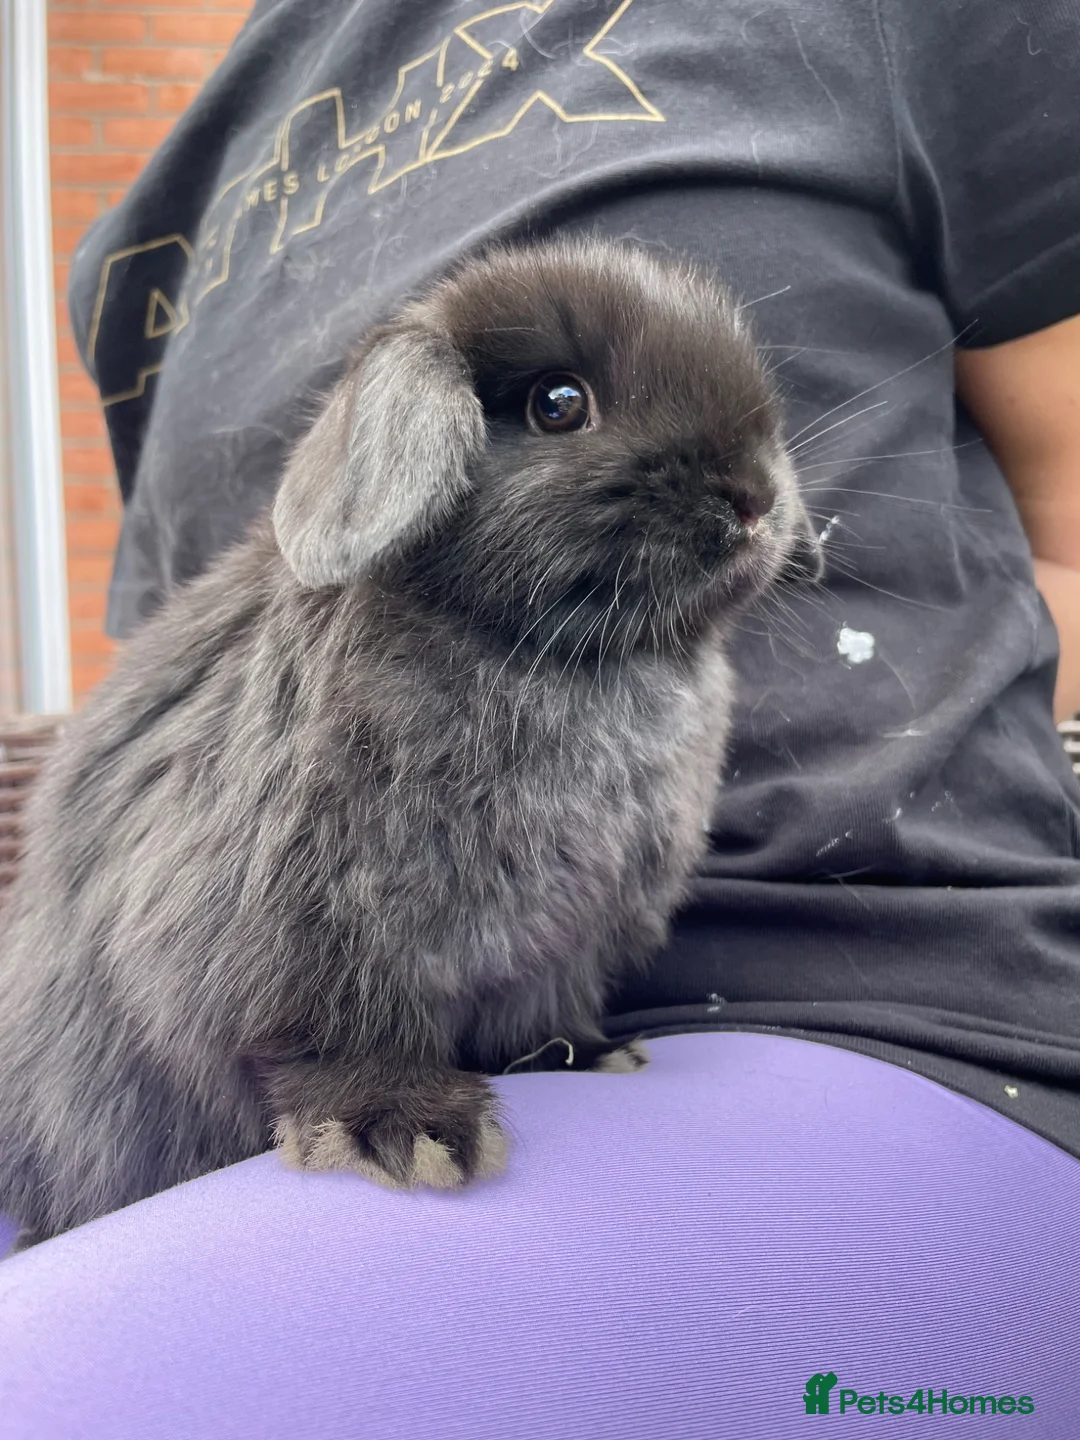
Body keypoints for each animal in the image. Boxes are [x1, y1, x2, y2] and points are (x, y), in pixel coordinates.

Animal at [0, 238, 823, 1248]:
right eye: (559, 403)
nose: (754, 500)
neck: (550, 653)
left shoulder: (563, 945)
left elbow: (542, 1011)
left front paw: (587, 1058)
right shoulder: (301, 938)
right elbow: (334, 1040)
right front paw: (409, 1133)